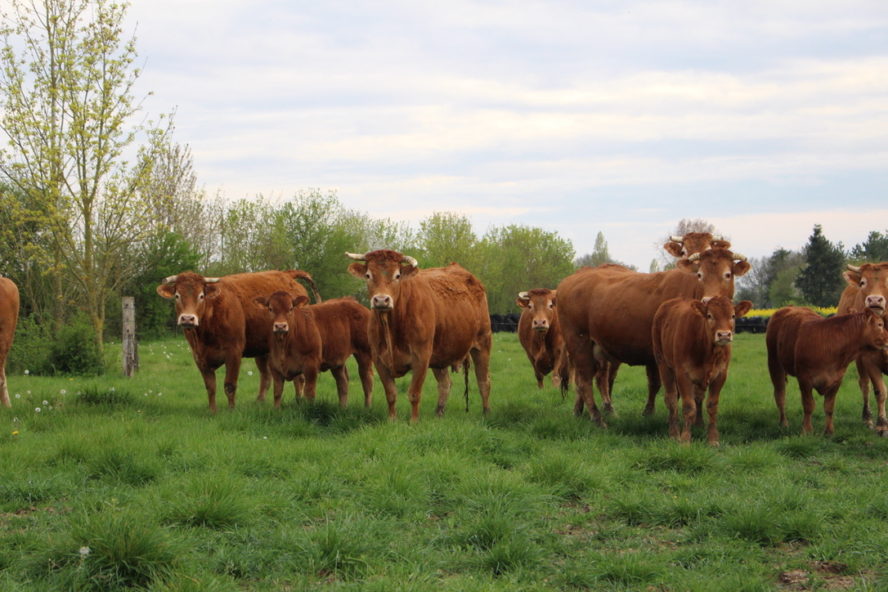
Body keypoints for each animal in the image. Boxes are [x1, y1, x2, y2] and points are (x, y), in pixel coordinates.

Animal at [158, 270, 320, 412]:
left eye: (201, 296)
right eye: (177, 295)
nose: (187, 318)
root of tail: (287, 274)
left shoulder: (234, 352)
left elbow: (229, 385)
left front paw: (231, 410)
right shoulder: (199, 357)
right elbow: (210, 387)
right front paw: (212, 410)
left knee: (299, 378)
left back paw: (299, 401)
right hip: (263, 351)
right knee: (266, 377)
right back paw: (259, 402)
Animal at [346, 249, 492, 420]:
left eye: (397, 275)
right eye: (368, 275)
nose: (381, 300)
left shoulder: (421, 357)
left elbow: (414, 393)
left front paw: (414, 421)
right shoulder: (378, 359)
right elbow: (391, 394)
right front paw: (392, 420)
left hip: (483, 343)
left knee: (484, 381)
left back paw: (486, 413)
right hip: (440, 352)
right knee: (445, 383)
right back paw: (439, 413)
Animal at [560, 249, 744, 426]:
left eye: (728, 274)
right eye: (699, 274)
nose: (709, 301)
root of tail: (571, 279)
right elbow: (673, 390)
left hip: (596, 349)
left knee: (590, 380)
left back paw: (584, 411)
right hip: (579, 342)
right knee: (585, 381)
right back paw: (597, 418)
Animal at [648, 296, 752, 444]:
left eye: (732, 316)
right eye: (709, 315)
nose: (724, 335)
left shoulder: (720, 375)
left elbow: (712, 406)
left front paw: (713, 439)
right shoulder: (683, 374)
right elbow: (688, 406)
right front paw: (685, 439)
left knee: (697, 397)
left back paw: (697, 425)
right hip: (663, 364)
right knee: (672, 399)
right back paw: (674, 433)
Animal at [764, 308, 888, 438]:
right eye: (880, 324)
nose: (887, 339)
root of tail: (787, 309)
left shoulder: (837, 380)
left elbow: (829, 406)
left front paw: (829, 431)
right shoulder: (804, 379)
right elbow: (808, 405)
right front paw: (807, 430)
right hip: (774, 363)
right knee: (780, 395)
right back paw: (784, 423)